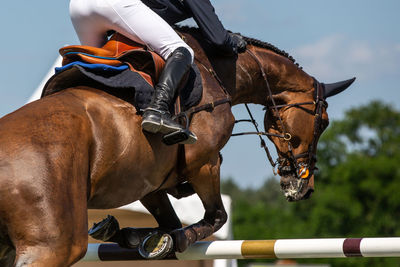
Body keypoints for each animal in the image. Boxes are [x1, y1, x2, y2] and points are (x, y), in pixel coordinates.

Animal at [0, 28, 354, 266]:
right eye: (323, 122)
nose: (303, 187)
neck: (220, 74)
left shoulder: (147, 181)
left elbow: (168, 218)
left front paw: (129, 234)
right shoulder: (205, 164)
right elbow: (215, 216)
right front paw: (170, 240)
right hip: (53, 246)